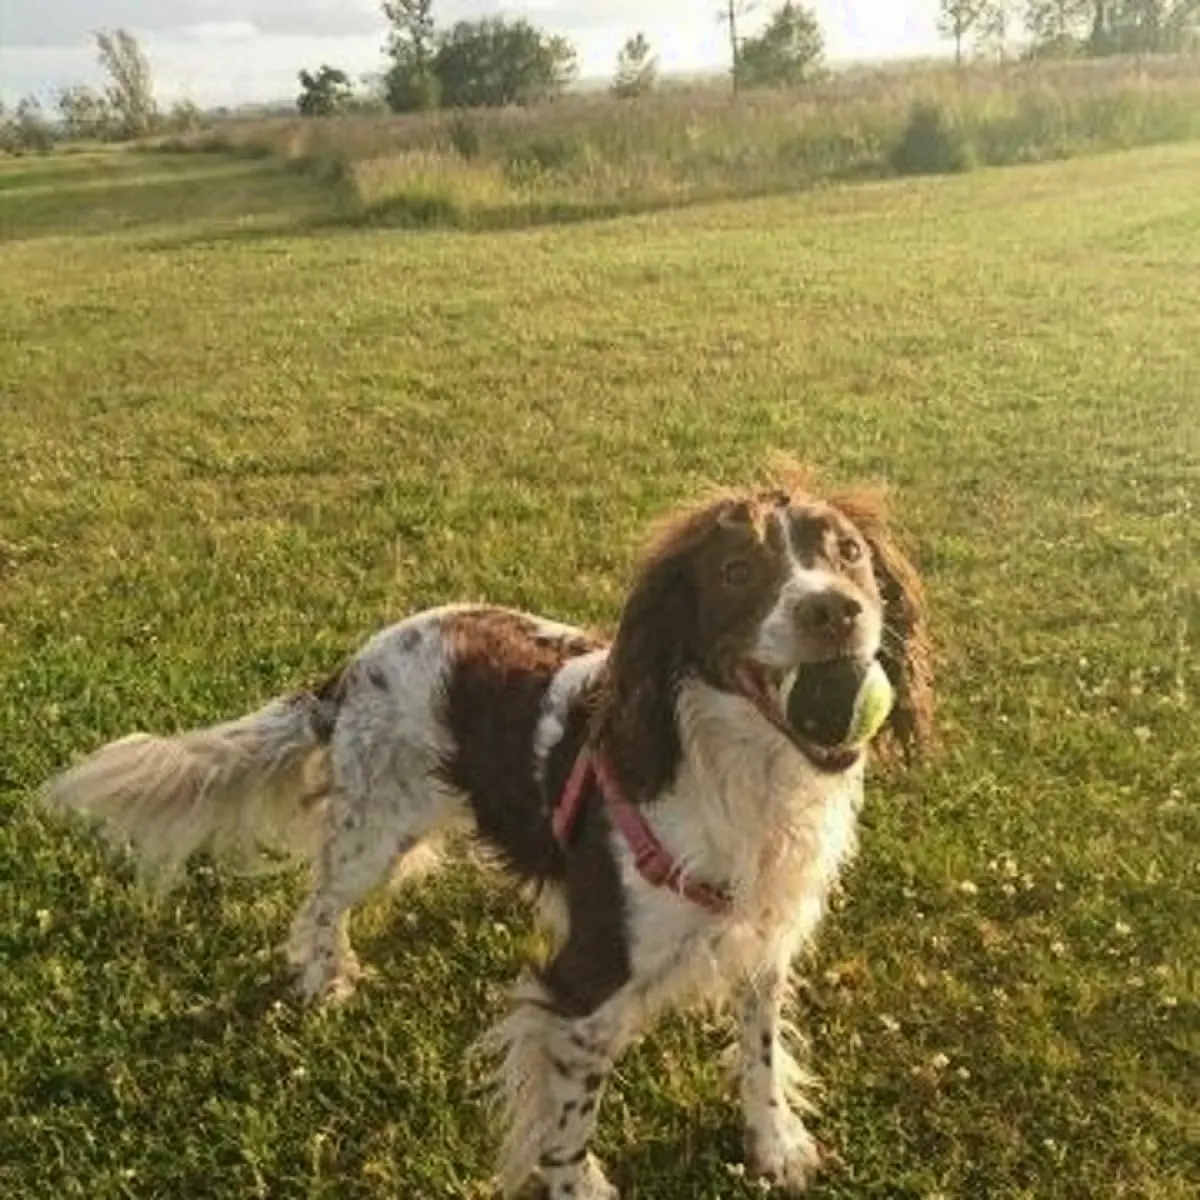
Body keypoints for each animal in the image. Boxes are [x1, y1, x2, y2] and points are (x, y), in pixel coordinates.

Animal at [42, 472, 931, 1195]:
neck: (745, 771)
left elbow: (762, 1053)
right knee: (320, 895)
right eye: (736, 571)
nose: (835, 609)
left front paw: (775, 1145)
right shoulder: (580, 988)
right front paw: (580, 1185)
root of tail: (352, 665)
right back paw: (326, 979)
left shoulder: (763, 936)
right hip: (376, 832)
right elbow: (568, 1127)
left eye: (849, 553)